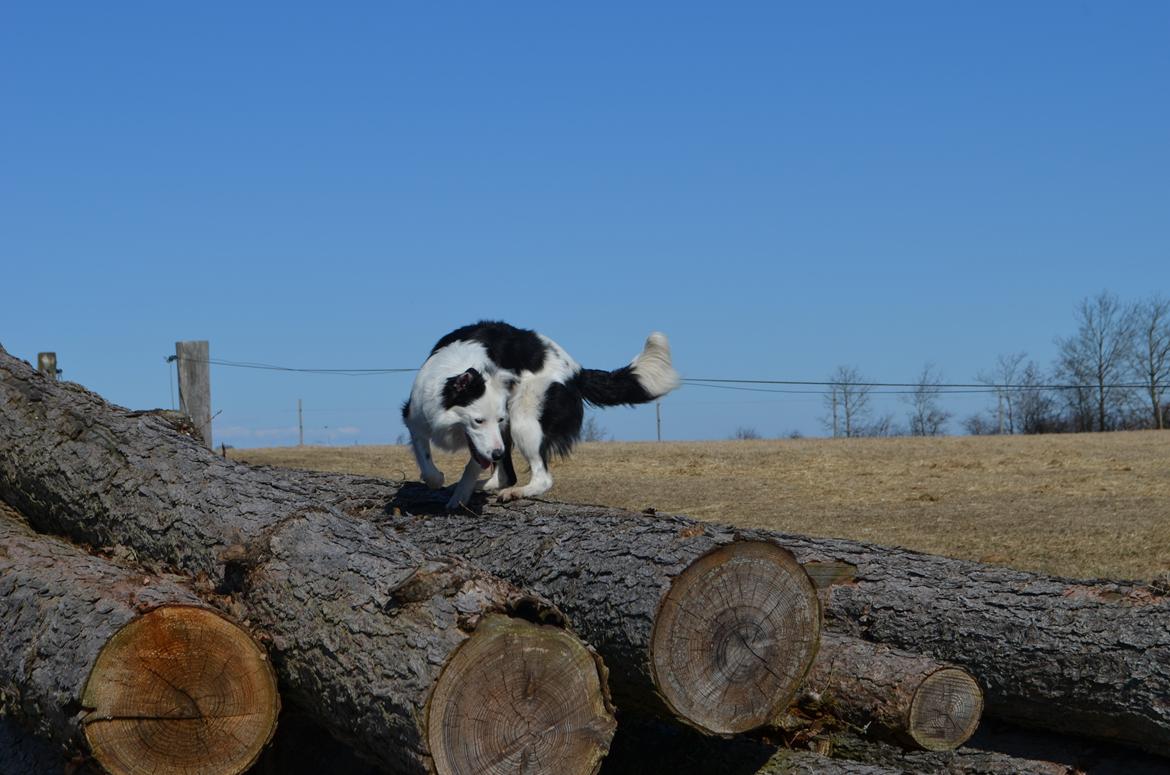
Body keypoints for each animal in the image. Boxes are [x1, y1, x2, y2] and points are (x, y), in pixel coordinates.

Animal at [402, 320, 678, 510]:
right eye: (478, 420)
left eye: (498, 419)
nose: (497, 453)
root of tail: (576, 370)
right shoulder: (416, 417)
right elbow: (427, 464)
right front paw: (445, 483)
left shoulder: (497, 432)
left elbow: (472, 466)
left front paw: (460, 496)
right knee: (507, 475)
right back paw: (484, 487)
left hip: (524, 420)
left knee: (542, 478)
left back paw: (514, 492)